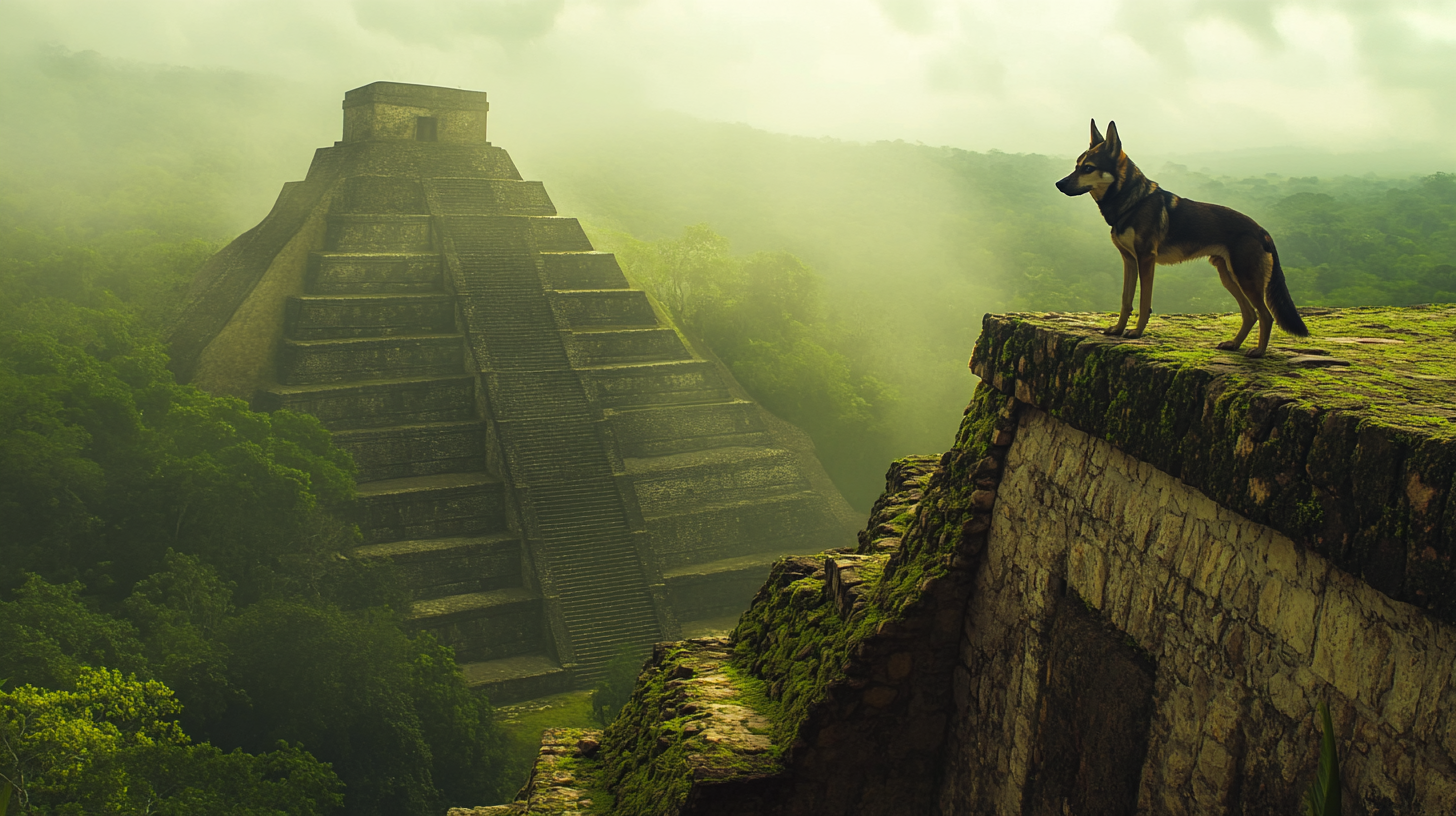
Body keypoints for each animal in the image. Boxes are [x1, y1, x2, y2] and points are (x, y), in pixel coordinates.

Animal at [1054, 119, 1316, 355]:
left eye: (1088, 168)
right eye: (1076, 166)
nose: (1058, 184)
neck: (1132, 202)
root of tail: (1263, 231)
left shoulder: (1146, 259)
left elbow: (1144, 302)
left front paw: (1136, 333)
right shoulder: (1129, 261)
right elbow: (1126, 300)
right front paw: (1118, 330)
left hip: (1245, 279)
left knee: (1266, 316)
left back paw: (1258, 352)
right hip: (1228, 276)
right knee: (1250, 314)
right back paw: (1234, 345)